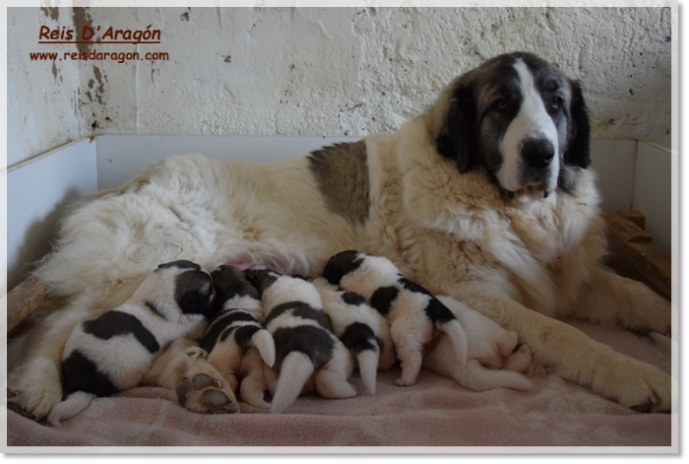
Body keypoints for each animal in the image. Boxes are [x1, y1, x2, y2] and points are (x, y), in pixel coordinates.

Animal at [47, 260, 214, 426]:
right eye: (208, 290)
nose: (210, 273)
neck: (151, 305)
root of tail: (80, 385)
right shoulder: (190, 326)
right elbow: (200, 326)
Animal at [322, 252, 468, 386]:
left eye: (327, 270)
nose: (322, 274)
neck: (356, 261)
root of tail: (432, 306)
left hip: (406, 331)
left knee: (413, 358)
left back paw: (404, 380)